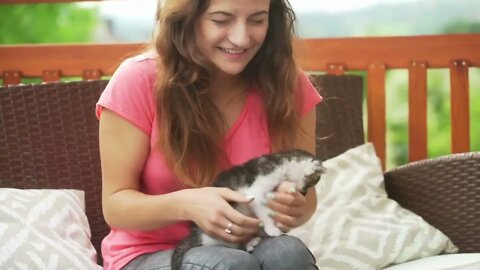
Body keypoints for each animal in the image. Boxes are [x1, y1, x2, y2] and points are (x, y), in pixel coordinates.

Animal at [170, 149, 326, 268]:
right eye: (309, 184)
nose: (304, 193)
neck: (281, 161)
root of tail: (196, 234)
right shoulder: (255, 191)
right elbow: (264, 211)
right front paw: (272, 229)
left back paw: (251, 242)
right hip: (216, 238)